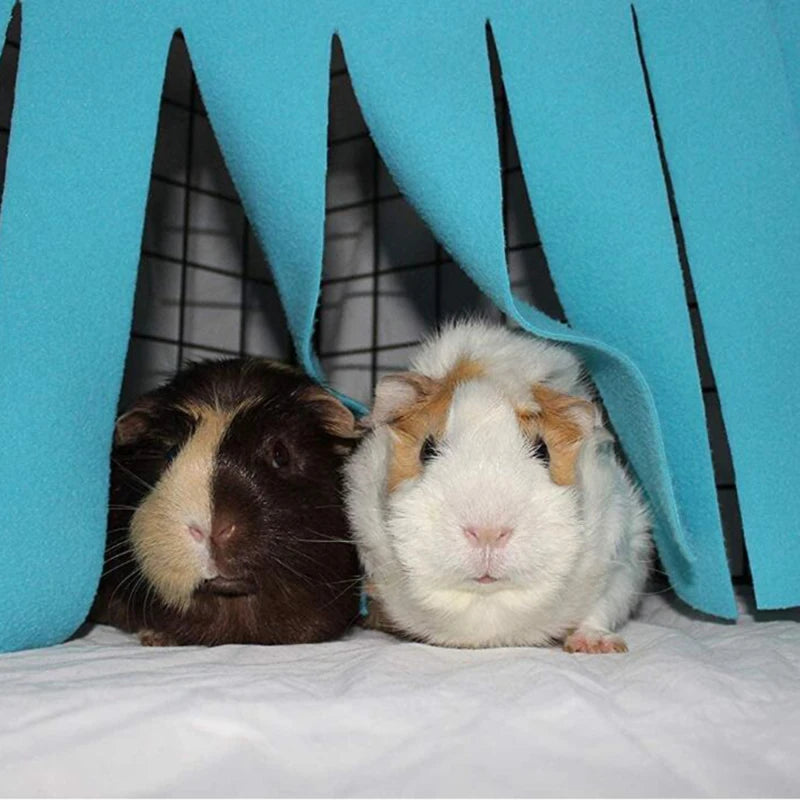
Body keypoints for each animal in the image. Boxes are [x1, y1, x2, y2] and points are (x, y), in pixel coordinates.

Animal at [344, 319, 653, 653]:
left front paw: (595, 645)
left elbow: (603, 607)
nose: (488, 533)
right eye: (427, 448)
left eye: (543, 450)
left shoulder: (625, 550)